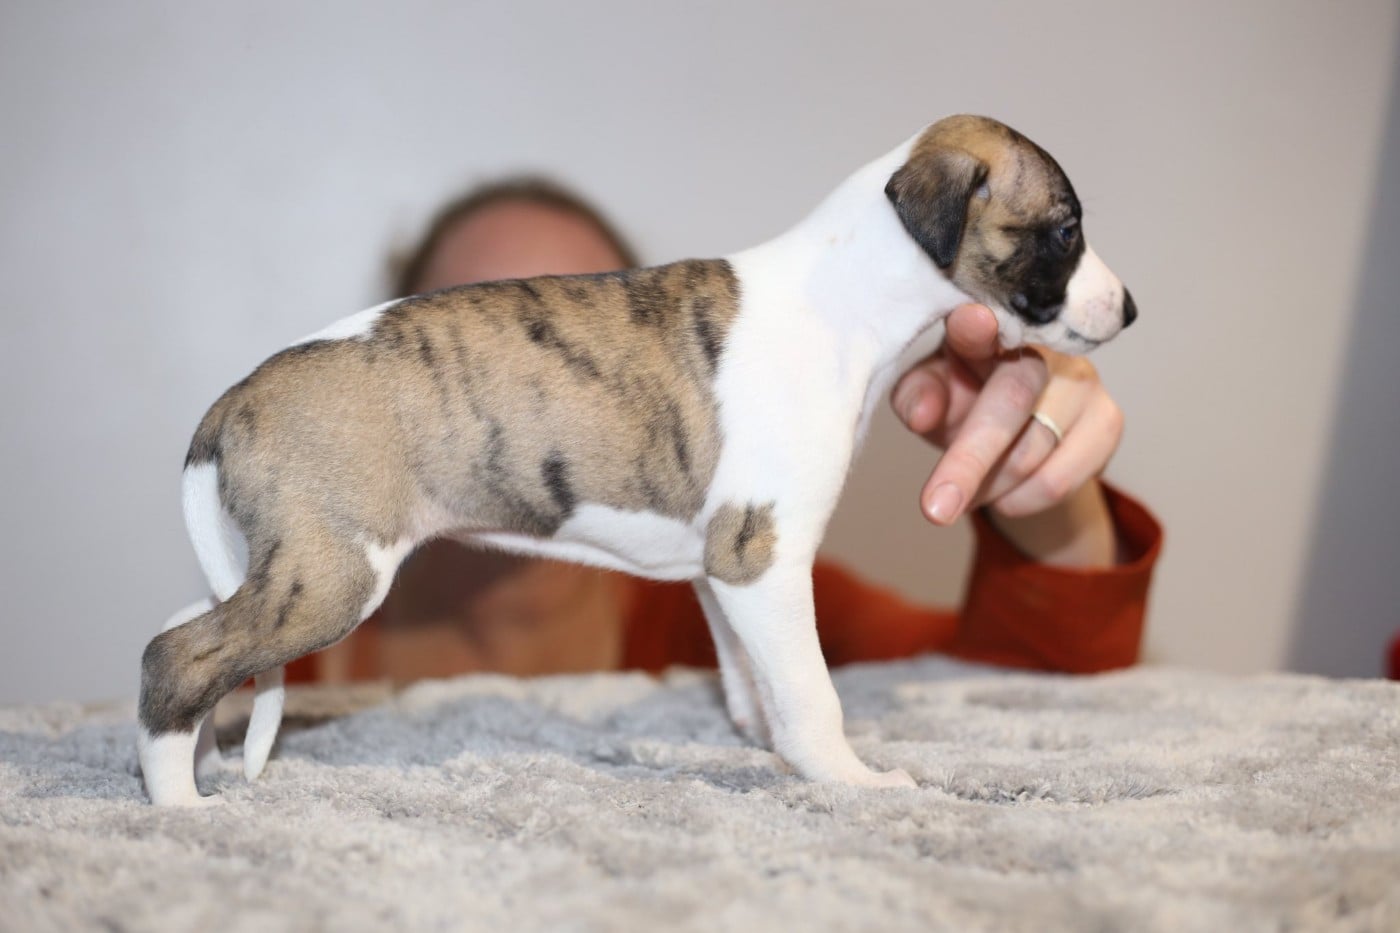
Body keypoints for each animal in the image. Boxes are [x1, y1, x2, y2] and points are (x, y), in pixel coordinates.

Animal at [139, 115, 1136, 805]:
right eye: (1063, 229)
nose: (1128, 309)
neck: (842, 295)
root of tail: (233, 400)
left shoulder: (724, 570)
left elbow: (752, 676)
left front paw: (762, 744)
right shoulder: (764, 557)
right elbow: (812, 690)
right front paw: (849, 780)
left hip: (284, 565)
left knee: (195, 631)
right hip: (332, 573)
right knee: (178, 652)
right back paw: (180, 803)